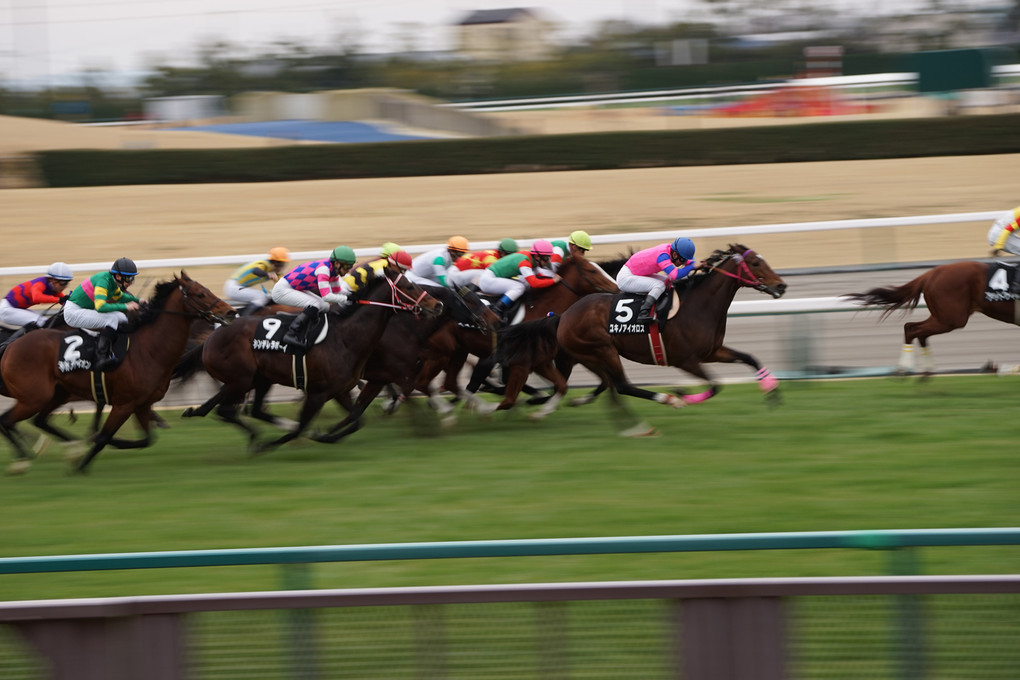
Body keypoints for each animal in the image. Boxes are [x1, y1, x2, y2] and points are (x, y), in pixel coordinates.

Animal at [0, 271, 234, 473]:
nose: (230, 311)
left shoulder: (142, 404)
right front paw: (83, 464)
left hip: (57, 394)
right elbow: (104, 436)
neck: (148, 349)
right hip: (34, 397)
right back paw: (23, 460)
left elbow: (146, 439)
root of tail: (11, 347)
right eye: (200, 294)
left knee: (36, 420)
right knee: (7, 420)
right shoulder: (124, 404)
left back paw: (62, 450)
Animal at [179, 265, 442, 452]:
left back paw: (195, 412)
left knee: (229, 408)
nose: (437, 304)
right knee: (226, 409)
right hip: (243, 379)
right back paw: (256, 437)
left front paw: (325, 435)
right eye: (408, 287)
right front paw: (280, 441)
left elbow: (357, 418)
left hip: (258, 379)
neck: (346, 337)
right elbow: (302, 426)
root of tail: (213, 336)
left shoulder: (340, 390)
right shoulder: (317, 392)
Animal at [497, 247, 783, 434]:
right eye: (755, 263)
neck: (698, 306)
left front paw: (772, 392)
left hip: (588, 354)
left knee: (605, 385)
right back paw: (659, 408)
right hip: (602, 349)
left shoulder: (712, 351)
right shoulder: (685, 360)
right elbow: (715, 385)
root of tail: (564, 315)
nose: (781, 286)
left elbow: (750, 358)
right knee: (622, 385)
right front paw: (681, 395)